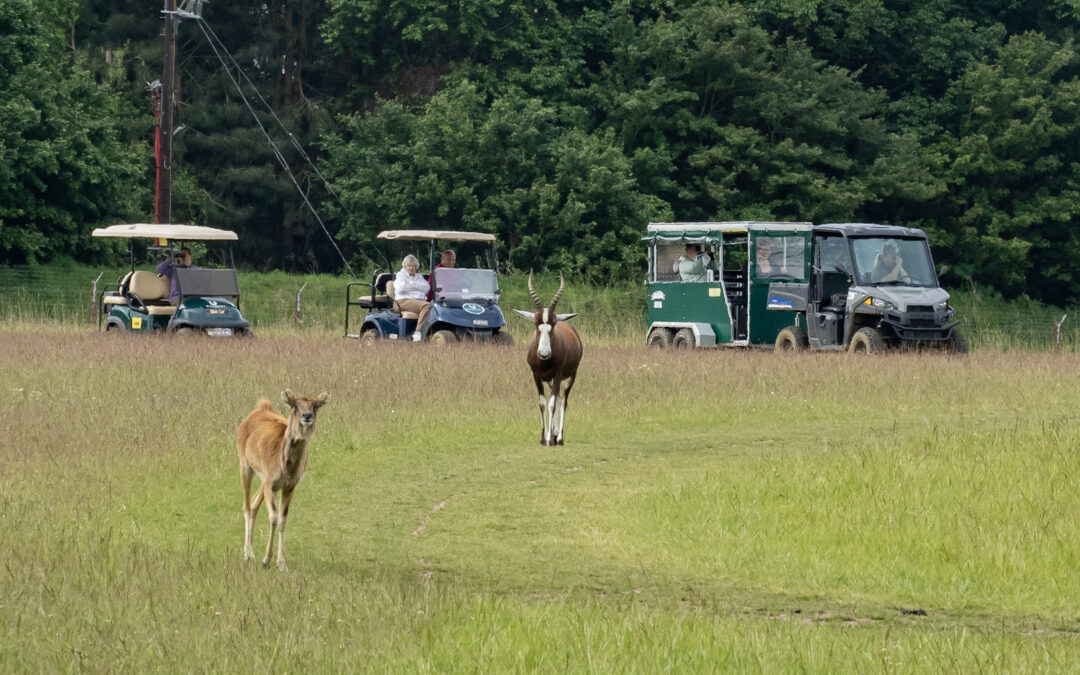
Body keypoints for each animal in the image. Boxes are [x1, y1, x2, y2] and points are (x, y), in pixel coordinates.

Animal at [238, 388, 330, 570]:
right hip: (245, 465)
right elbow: (273, 517)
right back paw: (246, 555)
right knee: (246, 506)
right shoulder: (270, 481)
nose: (307, 416)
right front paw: (266, 560)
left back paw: (252, 552)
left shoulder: (289, 485)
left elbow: (282, 519)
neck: (286, 467)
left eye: (315, 406)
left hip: (263, 480)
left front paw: (281, 563)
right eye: (295, 406)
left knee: (254, 502)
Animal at [514, 271, 583, 444]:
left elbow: (552, 404)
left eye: (553, 323)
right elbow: (543, 403)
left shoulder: (558, 375)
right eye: (536, 323)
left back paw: (559, 438)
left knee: (563, 401)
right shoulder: (536, 376)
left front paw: (549, 440)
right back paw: (554, 434)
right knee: (557, 398)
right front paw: (543, 438)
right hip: (550, 380)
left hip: (571, 376)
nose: (544, 353)